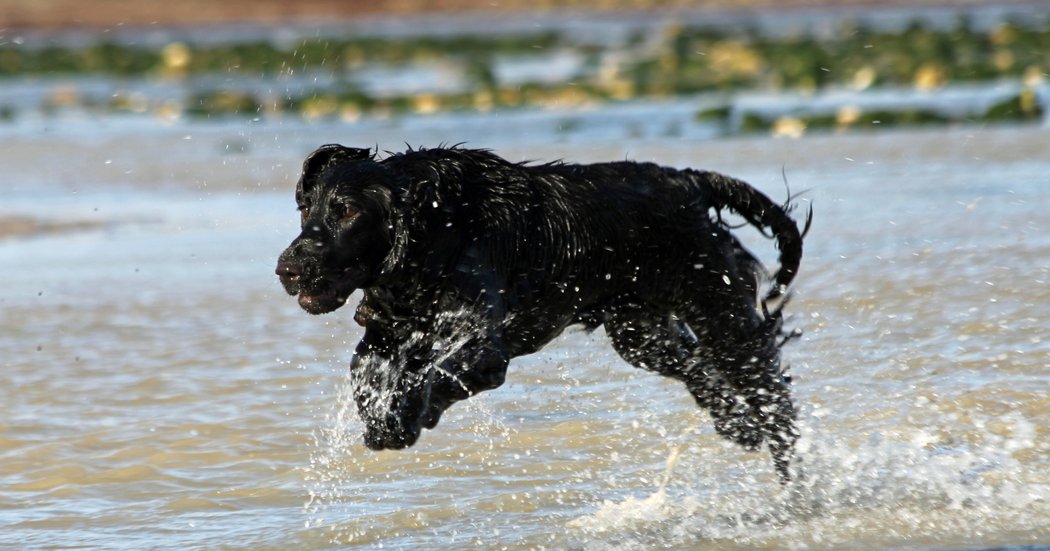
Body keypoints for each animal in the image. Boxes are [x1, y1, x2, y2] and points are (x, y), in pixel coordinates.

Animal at [275, 142, 806, 480]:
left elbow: (434, 376)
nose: (287, 269)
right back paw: (737, 424)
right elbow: (365, 370)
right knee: (702, 373)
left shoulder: (483, 348)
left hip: (721, 317)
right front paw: (382, 419)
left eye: (348, 212)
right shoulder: (392, 331)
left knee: (776, 405)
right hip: (641, 336)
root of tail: (689, 183)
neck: (437, 230)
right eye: (306, 209)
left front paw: (402, 420)